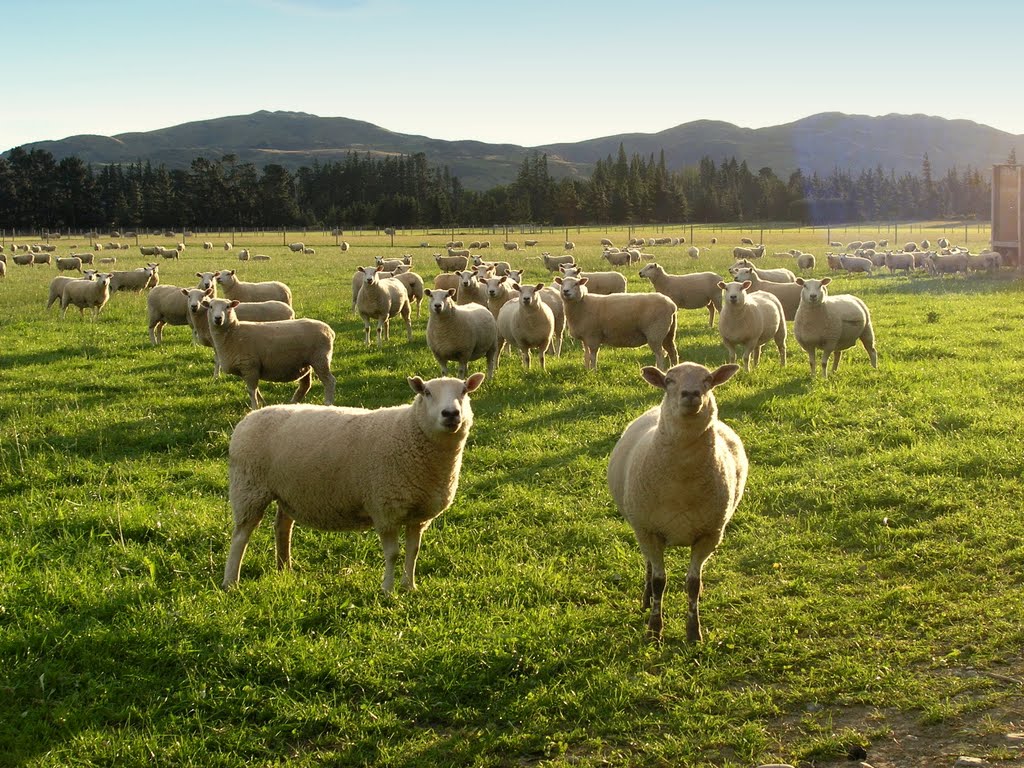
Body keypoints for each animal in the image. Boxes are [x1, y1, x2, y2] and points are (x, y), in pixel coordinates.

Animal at [202, 294, 335, 409]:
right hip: (306, 363)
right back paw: (292, 403)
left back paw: (327, 404)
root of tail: (329, 330)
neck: (234, 333)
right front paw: (263, 404)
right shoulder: (249, 370)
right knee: (305, 385)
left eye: (228, 306)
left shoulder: (249, 367)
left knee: (329, 381)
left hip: (320, 359)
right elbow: (256, 391)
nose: (218, 319)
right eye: (210, 306)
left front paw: (254, 408)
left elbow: (252, 392)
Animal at [222, 370, 485, 593]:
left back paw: (285, 568)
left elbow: (413, 552)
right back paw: (231, 582)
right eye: (427, 392)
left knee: (282, 527)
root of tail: (249, 417)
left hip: (288, 490)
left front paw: (410, 587)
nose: (451, 414)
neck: (411, 433)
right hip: (249, 488)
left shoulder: (419, 515)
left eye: (464, 391)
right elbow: (393, 554)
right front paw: (387, 590)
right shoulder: (385, 509)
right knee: (240, 536)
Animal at [606, 360, 745, 643]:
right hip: (641, 526)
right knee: (649, 565)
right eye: (669, 380)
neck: (682, 483)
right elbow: (660, 581)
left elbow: (693, 583)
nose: (691, 394)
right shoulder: (649, 530)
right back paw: (647, 598)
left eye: (708, 380)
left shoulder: (710, 534)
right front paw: (654, 630)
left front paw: (693, 632)